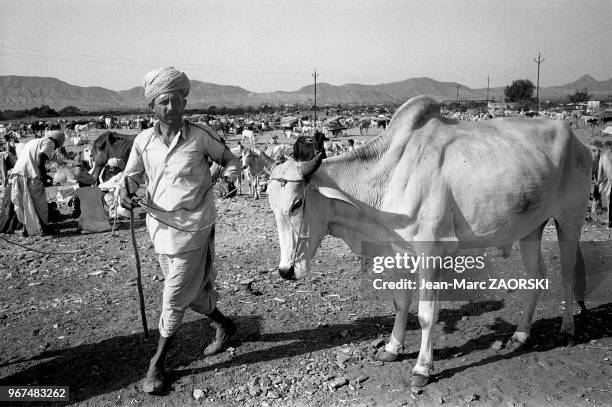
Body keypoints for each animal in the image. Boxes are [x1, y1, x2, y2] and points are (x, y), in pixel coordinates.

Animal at [266, 95, 592, 388]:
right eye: (272, 207)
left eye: (296, 204)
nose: (285, 271)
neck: (390, 173)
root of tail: (579, 141)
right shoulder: (399, 250)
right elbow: (401, 302)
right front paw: (392, 349)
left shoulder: (431, 252)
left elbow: (426, 314)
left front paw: (422, 367)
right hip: (531, 228)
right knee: (536, 275)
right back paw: (521, 335)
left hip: (569, 219)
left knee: (567, 272)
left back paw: (567, 328)